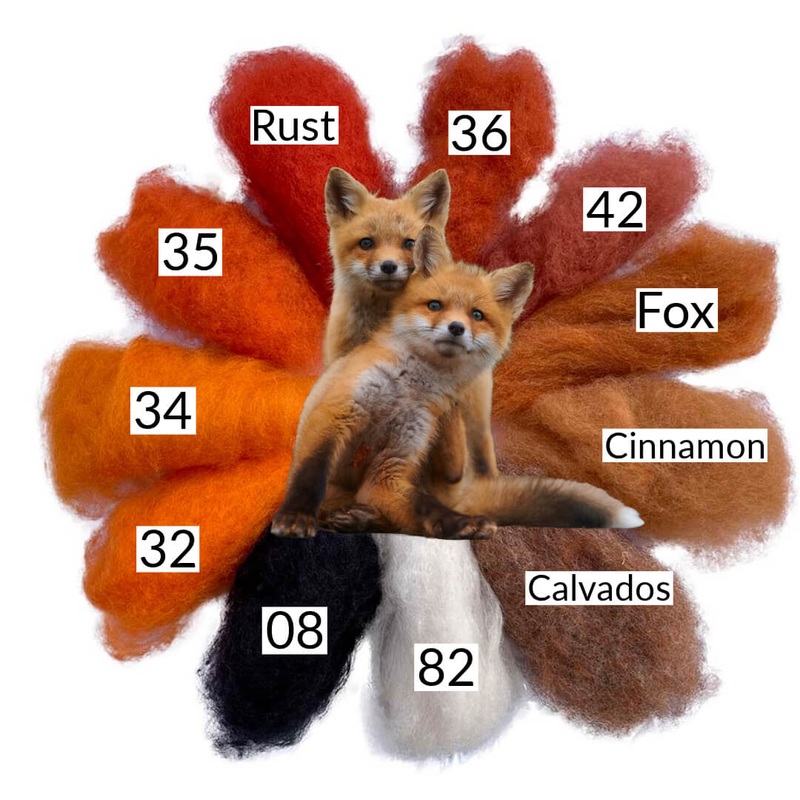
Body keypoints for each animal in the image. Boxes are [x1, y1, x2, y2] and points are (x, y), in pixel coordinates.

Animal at [271, 226, 643, 540]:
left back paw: (361, 517)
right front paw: (296, 517)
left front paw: (458, 523)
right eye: (435, 306)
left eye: (476, 315)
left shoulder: (395, 461)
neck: (406, 388)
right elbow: (310, 473)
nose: (455, 328)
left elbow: (423, 506)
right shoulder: (335, 411)